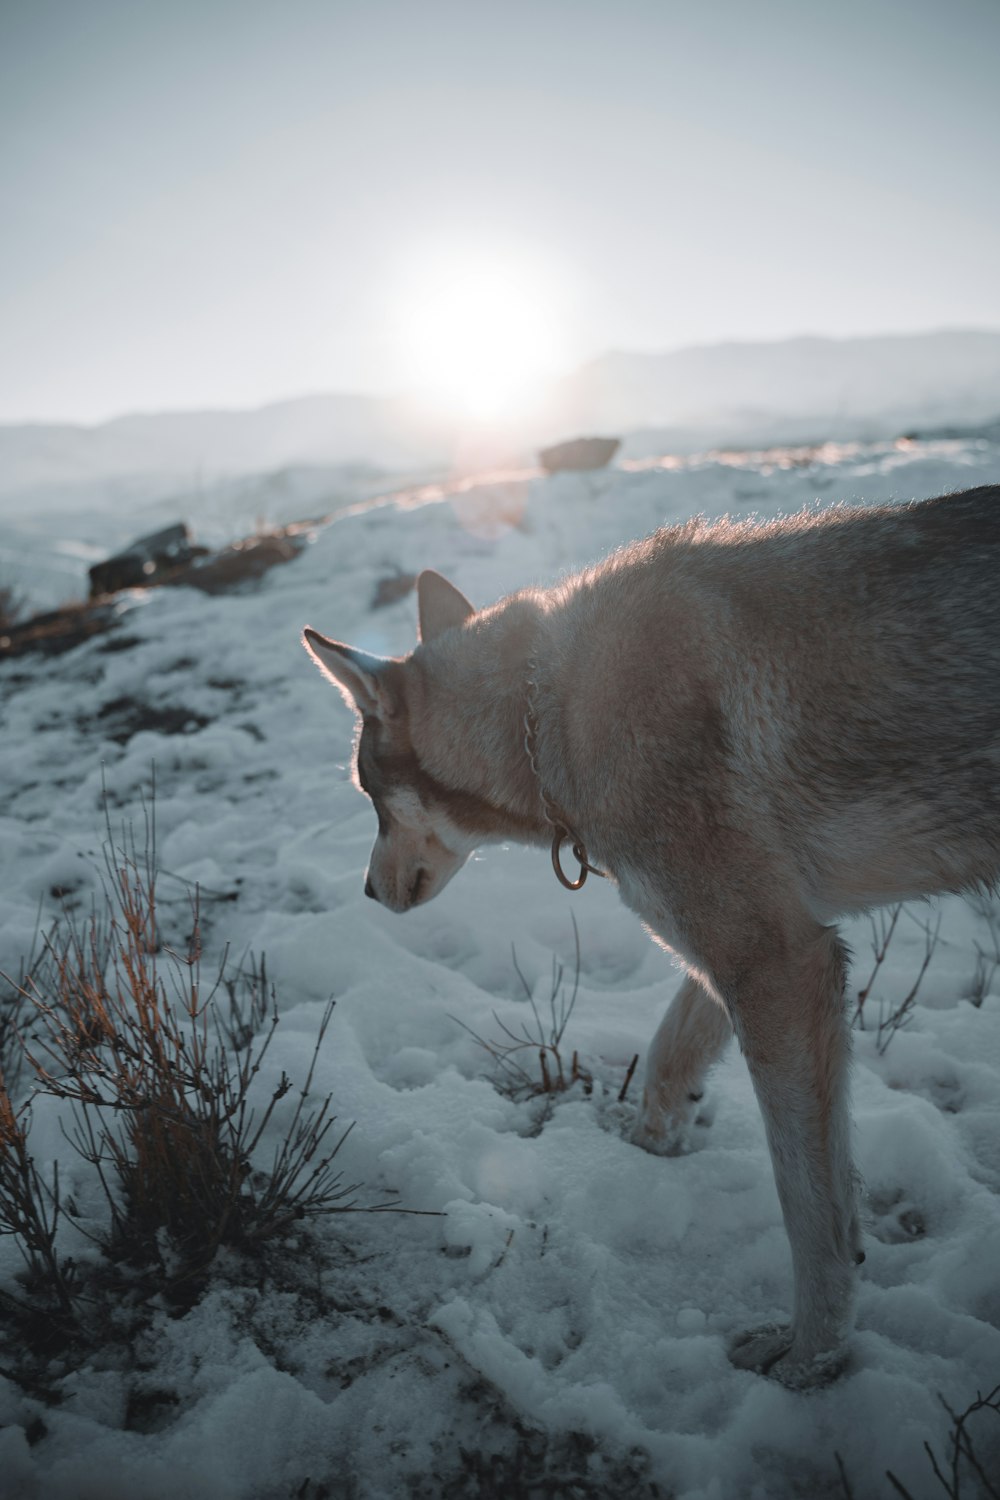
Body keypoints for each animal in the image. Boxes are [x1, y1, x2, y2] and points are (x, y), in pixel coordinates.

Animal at [302, 486, 1000, 1386]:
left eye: (369, 799)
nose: (364, 890)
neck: (547, 716)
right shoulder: (756, 947)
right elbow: (670, 1059)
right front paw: (645, 1152)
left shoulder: (776, 963)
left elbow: (809, 1209)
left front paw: (810, 1358)